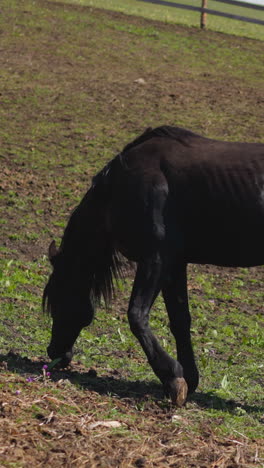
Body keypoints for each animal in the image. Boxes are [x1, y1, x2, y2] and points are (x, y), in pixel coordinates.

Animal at [42, 125, 262, 406]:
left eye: (58, 299)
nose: (54, 352)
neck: (119, 188)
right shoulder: (174, 265)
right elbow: (180, 320)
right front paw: (188, 379)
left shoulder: (155, 260)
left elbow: (136, 316)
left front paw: (172, 377)